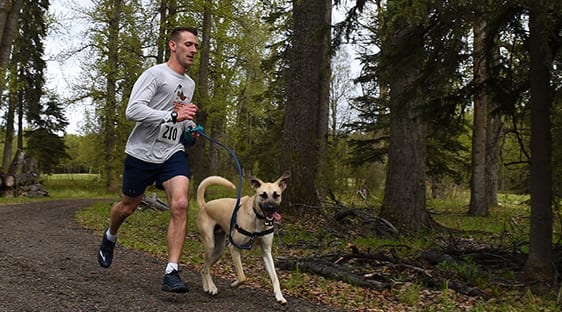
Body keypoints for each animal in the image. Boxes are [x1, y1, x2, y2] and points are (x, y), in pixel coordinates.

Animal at [196, 172, 288, 304]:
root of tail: (205, 205)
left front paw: (279, 296)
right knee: (207, 267)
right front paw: (234, 284)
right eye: (263, 195)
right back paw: (212, 287)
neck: (257, 218)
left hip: (218, 251)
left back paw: (206, 287)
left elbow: (275, 277)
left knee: (204, 268)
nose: (271, 208)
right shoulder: (234, 248)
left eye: (276, 195)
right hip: (210, 245)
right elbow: (243, 277)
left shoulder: (266, 252)